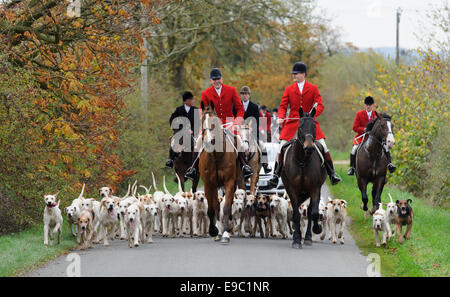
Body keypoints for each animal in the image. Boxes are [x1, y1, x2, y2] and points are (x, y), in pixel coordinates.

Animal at [198, 100, 239, 243]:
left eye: (214, 120)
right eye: (202, 120)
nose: (208, 142)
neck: (216, 154)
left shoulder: (230, 182)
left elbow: (226, 207)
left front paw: (226, 233)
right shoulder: (209, 184)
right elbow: (212, 208)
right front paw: (214, 231)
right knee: (215, 206)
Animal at [280, 106, 326, 247]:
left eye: (314, 126)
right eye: (300, 126)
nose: (309, 147)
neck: (302, 160)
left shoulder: (315, 188)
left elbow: (314, 213)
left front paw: (316, 229)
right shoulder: (292, 189)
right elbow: (296, 214)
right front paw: (296, 239)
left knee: (310, 211)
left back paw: (308, 237)